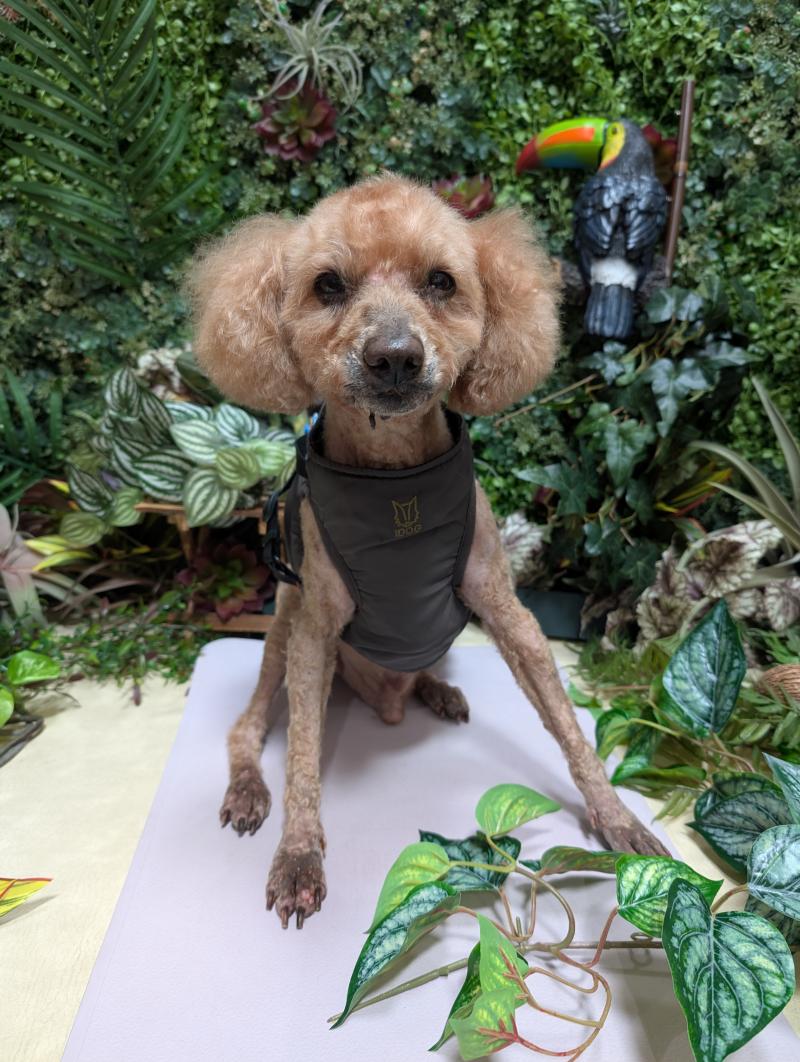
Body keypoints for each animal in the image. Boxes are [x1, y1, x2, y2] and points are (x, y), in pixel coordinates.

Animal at [188, 174, 667, 929]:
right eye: (328, 285)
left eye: (442, 281)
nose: (394, 355)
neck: (392, 477)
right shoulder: (314, 629)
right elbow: (302, 762)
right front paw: (298, 856)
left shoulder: (509, 611)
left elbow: (569, 730)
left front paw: (617, 821)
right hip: (283, 624)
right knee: (247, 731)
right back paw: (246, 790)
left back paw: (438, 690)